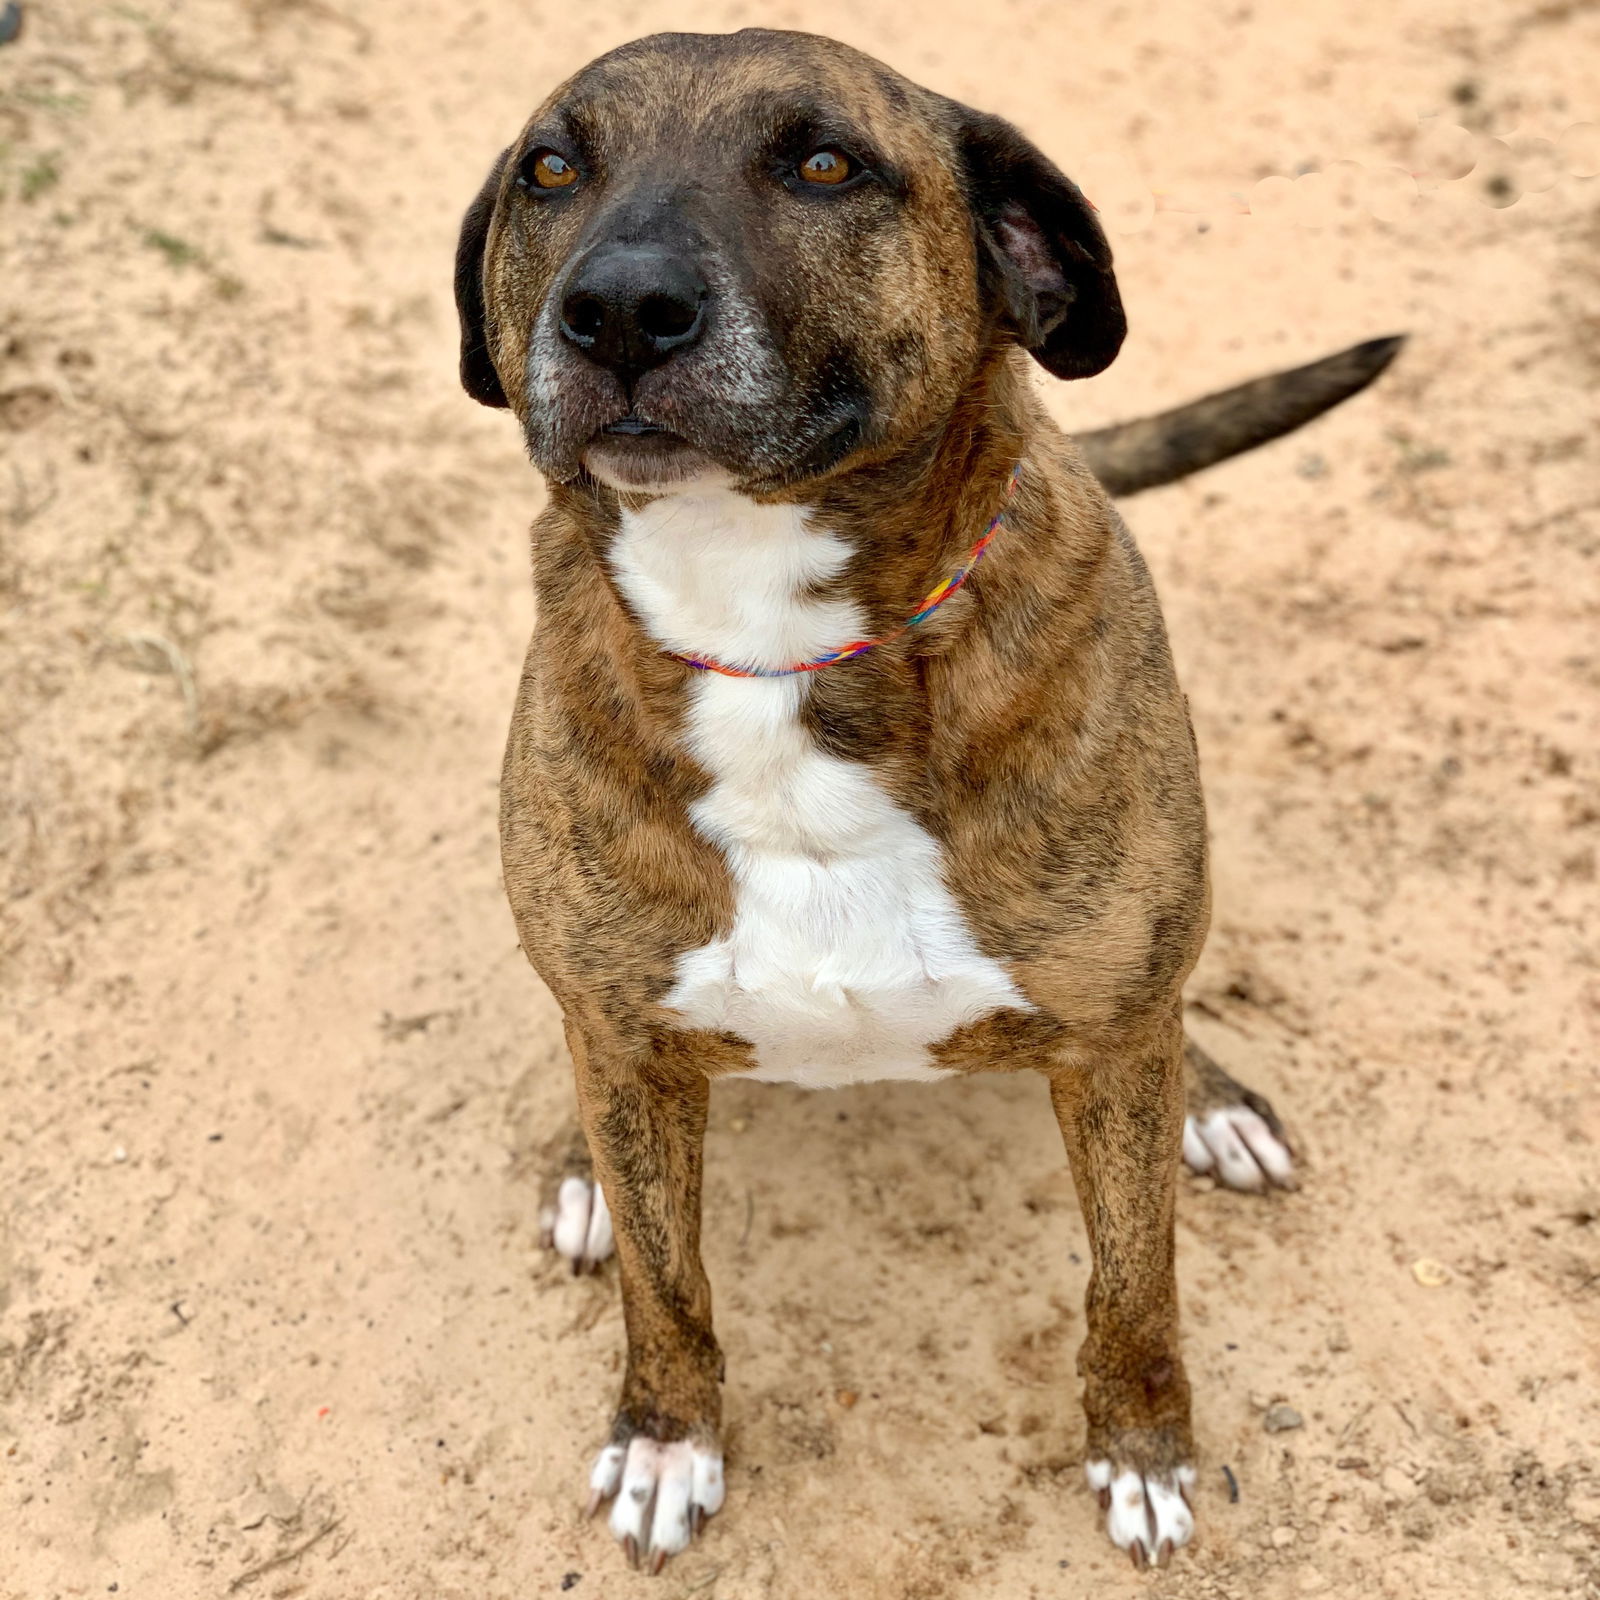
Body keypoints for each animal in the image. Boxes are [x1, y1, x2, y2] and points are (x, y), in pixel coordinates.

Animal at [454, 28, 1401, 1574]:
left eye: (825, 162)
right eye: (550, 167)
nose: (617, 312)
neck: (773, 642)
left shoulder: (1113, 1045)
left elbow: (1132, 1282)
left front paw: (1144, 1450)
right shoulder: (623, 1037)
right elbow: (666, 1285)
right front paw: (666, 1439)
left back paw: (1210, 1101)